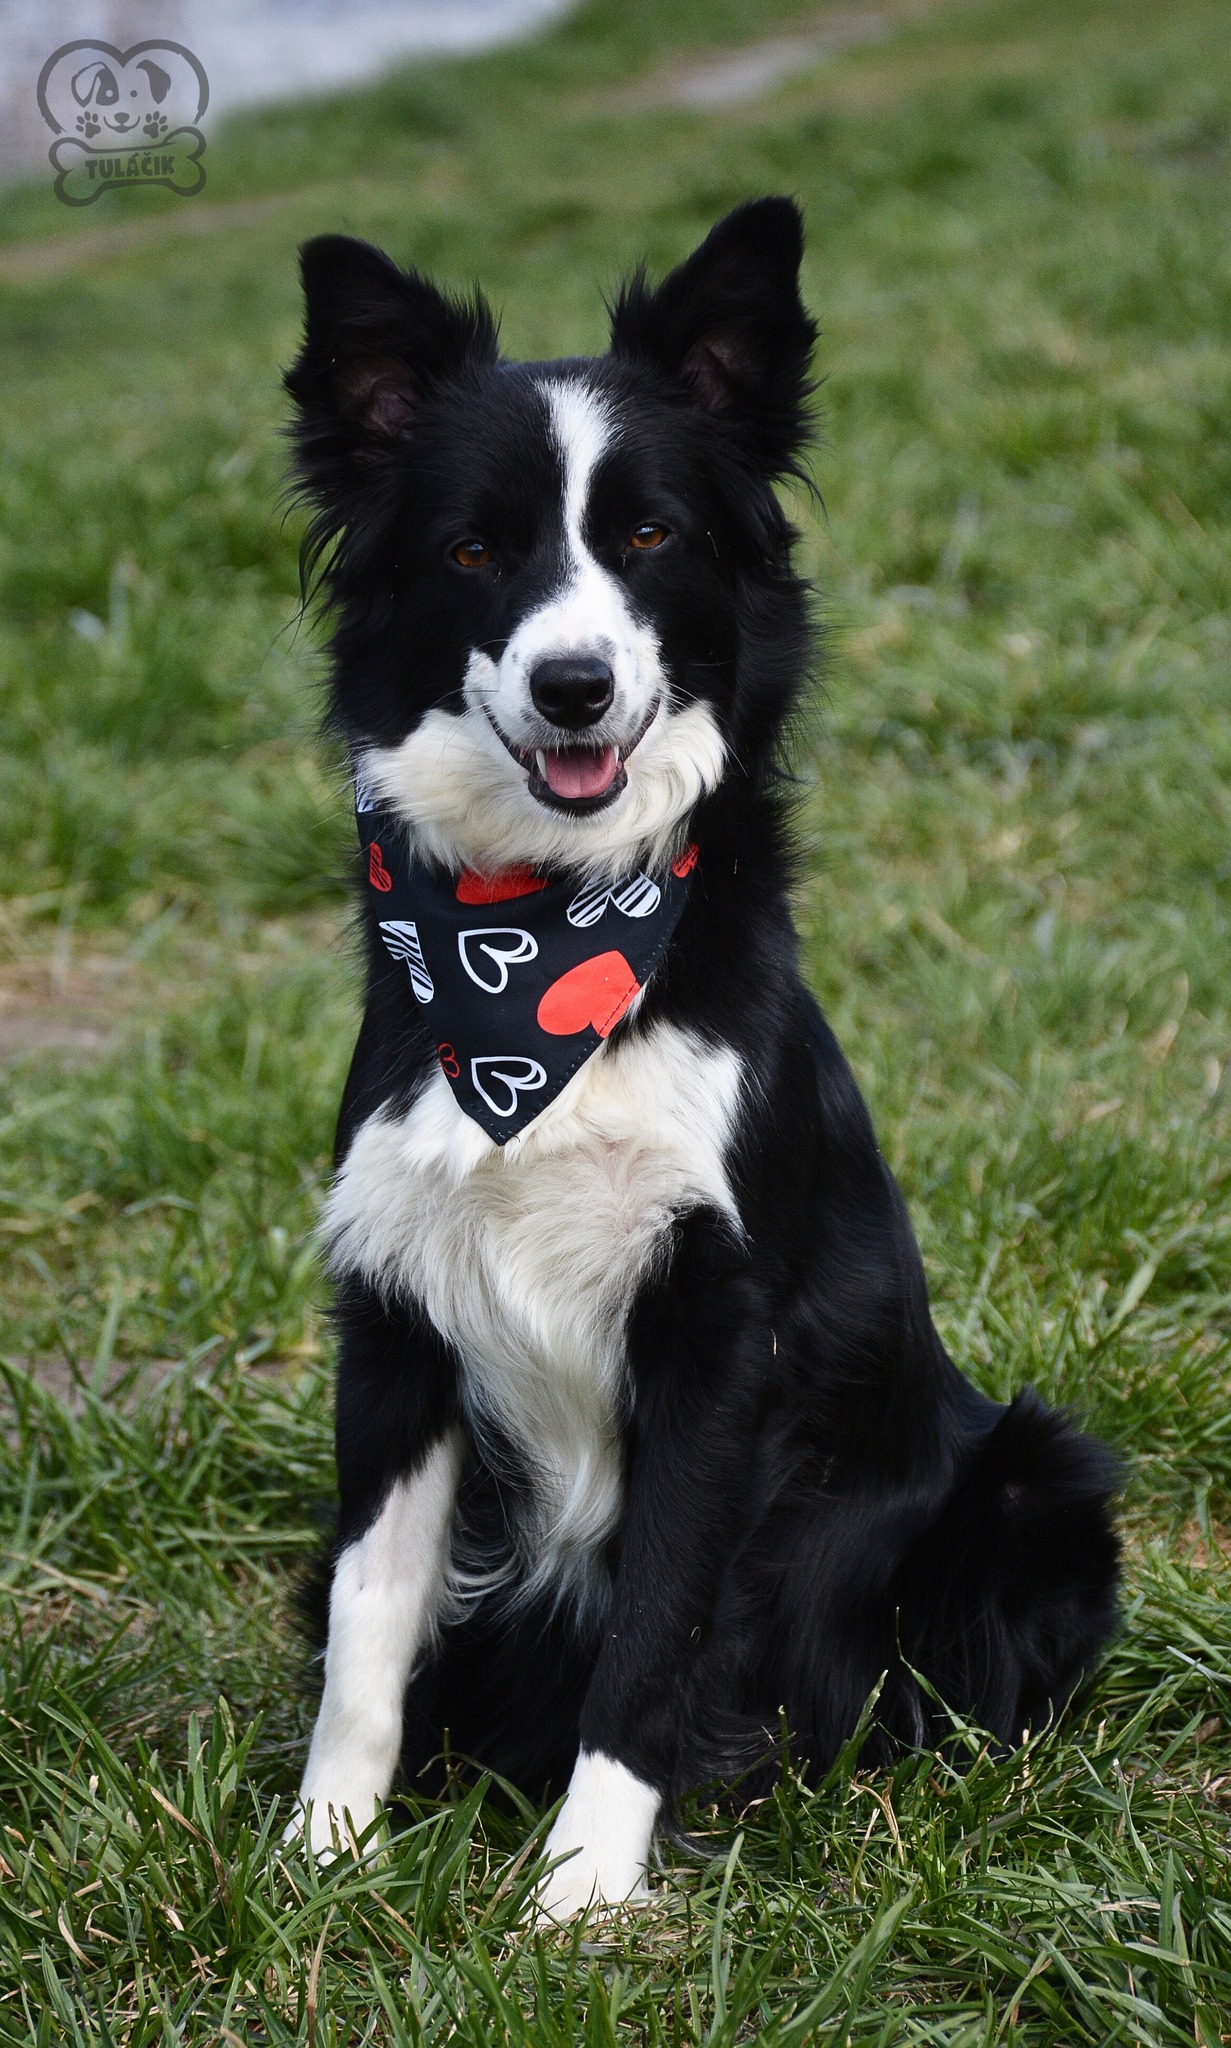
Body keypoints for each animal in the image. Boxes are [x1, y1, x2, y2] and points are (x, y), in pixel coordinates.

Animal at [281, 198, 1120, 1918]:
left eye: (650, 538)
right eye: (475, 551)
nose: (573, 684)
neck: (538, 944)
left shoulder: (714, 1334)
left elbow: (657, 1623)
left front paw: (579, 1895)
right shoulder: (395, 1315)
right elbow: (363, 1630)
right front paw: (318, 1855)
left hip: (1036, 1481)